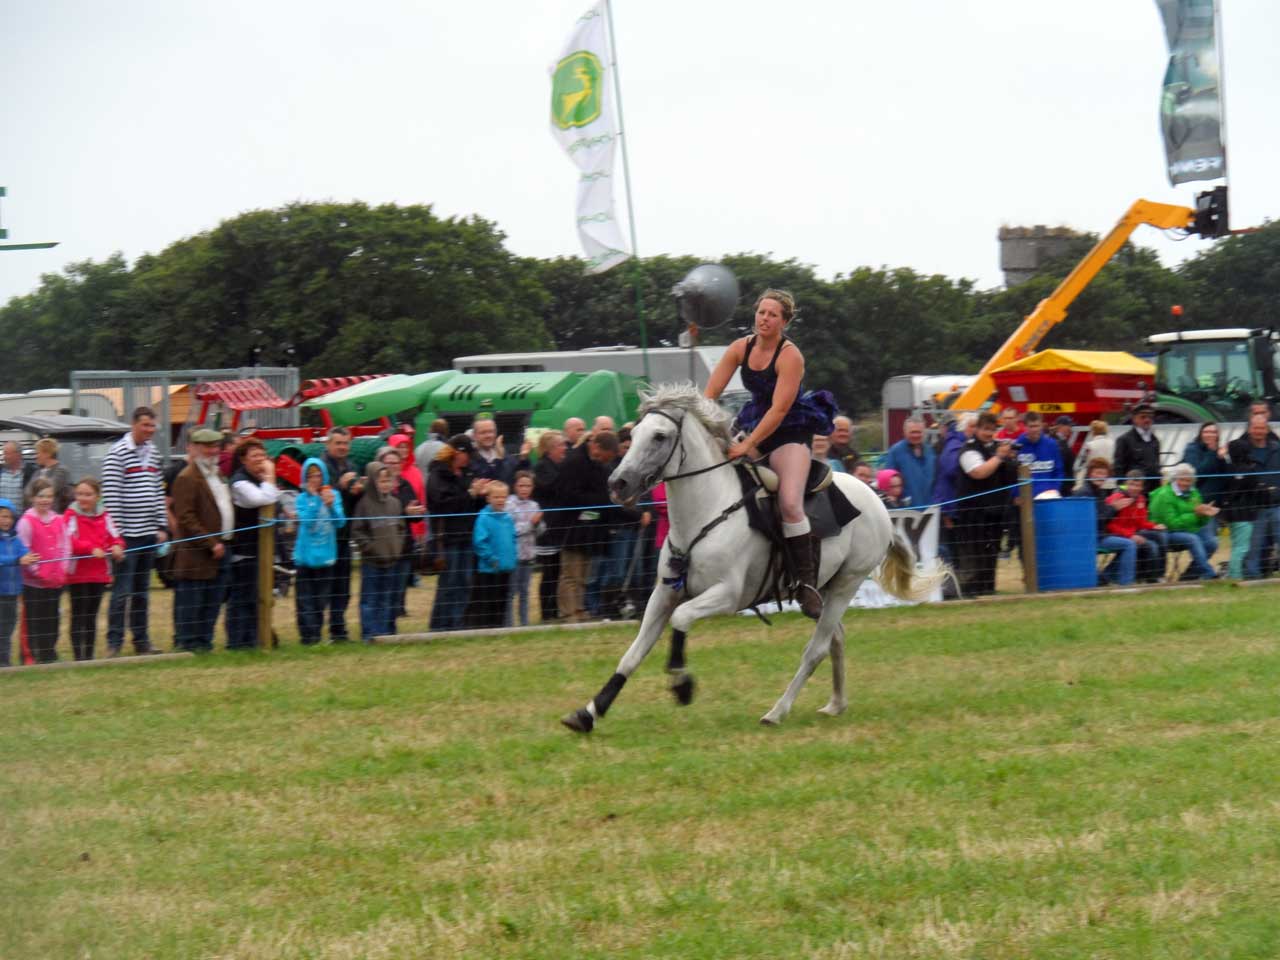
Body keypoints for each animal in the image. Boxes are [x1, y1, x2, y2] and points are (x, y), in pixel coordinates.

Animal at [558, 386, 942, 732]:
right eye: (633, 434)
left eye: (659, 436)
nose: (618, 483)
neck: (705, 513)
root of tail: (876, 500)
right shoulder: (664, 593)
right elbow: (633, 653)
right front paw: (589, 712)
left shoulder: (725, 596)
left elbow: (681, 620)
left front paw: (682, 685)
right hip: (823, 591)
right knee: (836, 639)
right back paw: (835, 703)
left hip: (845, 586)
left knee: (816, 649)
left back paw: (777, 711)